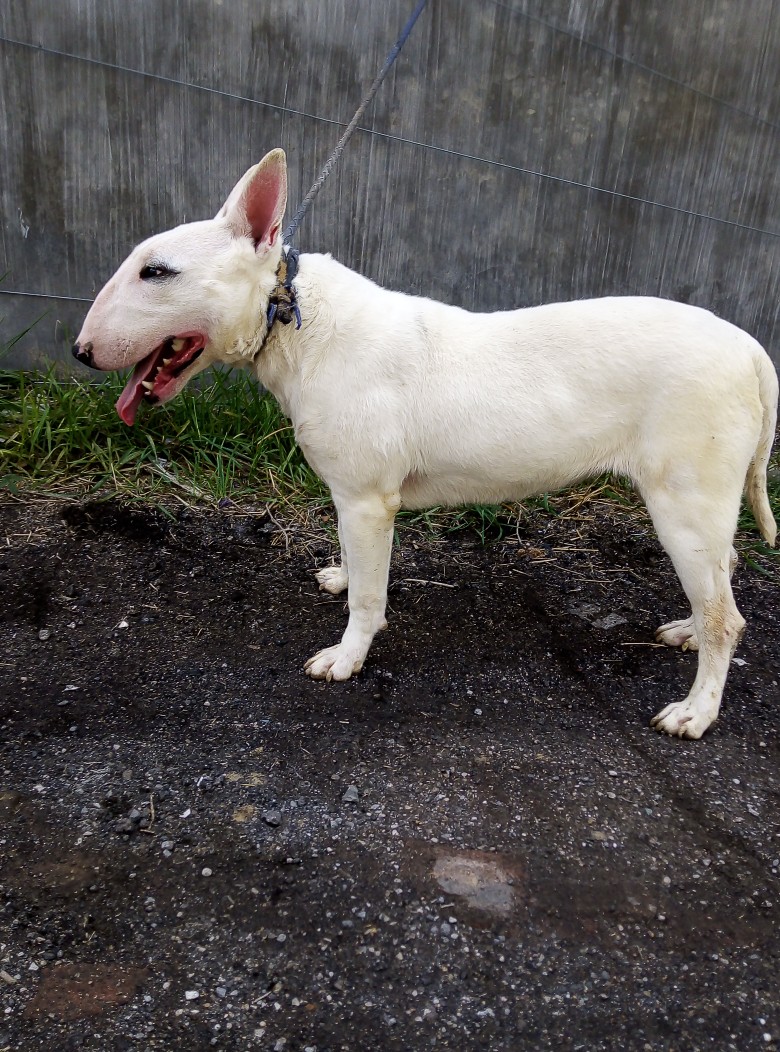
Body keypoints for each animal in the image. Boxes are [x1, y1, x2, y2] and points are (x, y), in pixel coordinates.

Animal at [71, 148, 774, 740]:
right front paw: (340, 575)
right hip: (699, 510)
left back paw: (696, 711)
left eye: (156, 272)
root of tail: (749, 348)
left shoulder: (366, 501)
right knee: (723, 573)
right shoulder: (351, 501)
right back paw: (686, 631)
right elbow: (356, 568)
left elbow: (369, 595)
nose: (79, 352)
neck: (292, 316)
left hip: (683, 501)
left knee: (728, 617)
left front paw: (347, 657)